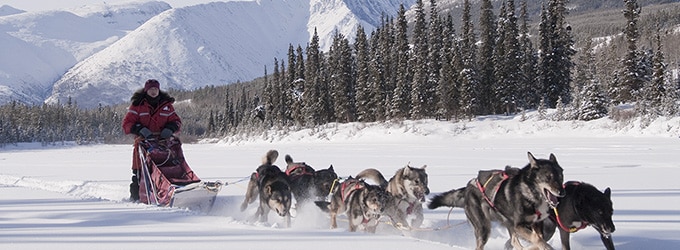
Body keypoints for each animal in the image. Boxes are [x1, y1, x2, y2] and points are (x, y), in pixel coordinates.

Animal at [428, 152, 564, 250]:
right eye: (548, 177)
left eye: (561, 176)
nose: (562, 193)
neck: (529, 193)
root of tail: (468, 187)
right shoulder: (519, 225)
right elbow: (537, 239)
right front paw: (546, 247)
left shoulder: (536, 223)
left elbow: (538, 238)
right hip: (483, 228)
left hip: (507, 223)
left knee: (514, 241)